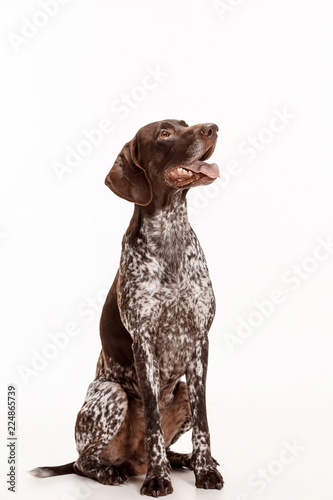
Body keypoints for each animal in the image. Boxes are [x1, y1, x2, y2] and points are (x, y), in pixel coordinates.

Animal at [29, 118, 223, 496]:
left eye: (185, 122)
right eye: (165, 133)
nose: (212, 128)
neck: (170, 237)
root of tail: (132, 460)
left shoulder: (199, 341)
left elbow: (204, 422)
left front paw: (204, 469)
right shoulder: (143, 342)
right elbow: (152, 424)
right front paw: (158, 480)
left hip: (180, 391)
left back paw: (181, 460)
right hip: (110, 393)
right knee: (84, 462)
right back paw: (114, 471)